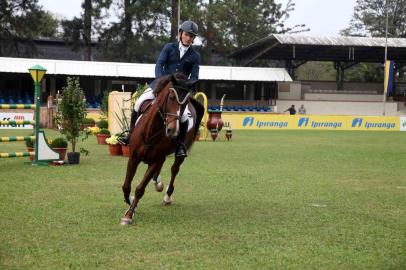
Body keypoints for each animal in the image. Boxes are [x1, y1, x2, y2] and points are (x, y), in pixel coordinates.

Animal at [119, 73, 203, 226]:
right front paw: (130, 203)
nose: (172, 131)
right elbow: (126, 186)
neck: (151, 130)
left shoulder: (156, 160)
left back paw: (167, 196)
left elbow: (140, 189)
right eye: (171, 98)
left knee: (174, 170)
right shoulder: (133, 158)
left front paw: (129, 214)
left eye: (185, 102)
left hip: (176, 155)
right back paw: (157, 183)